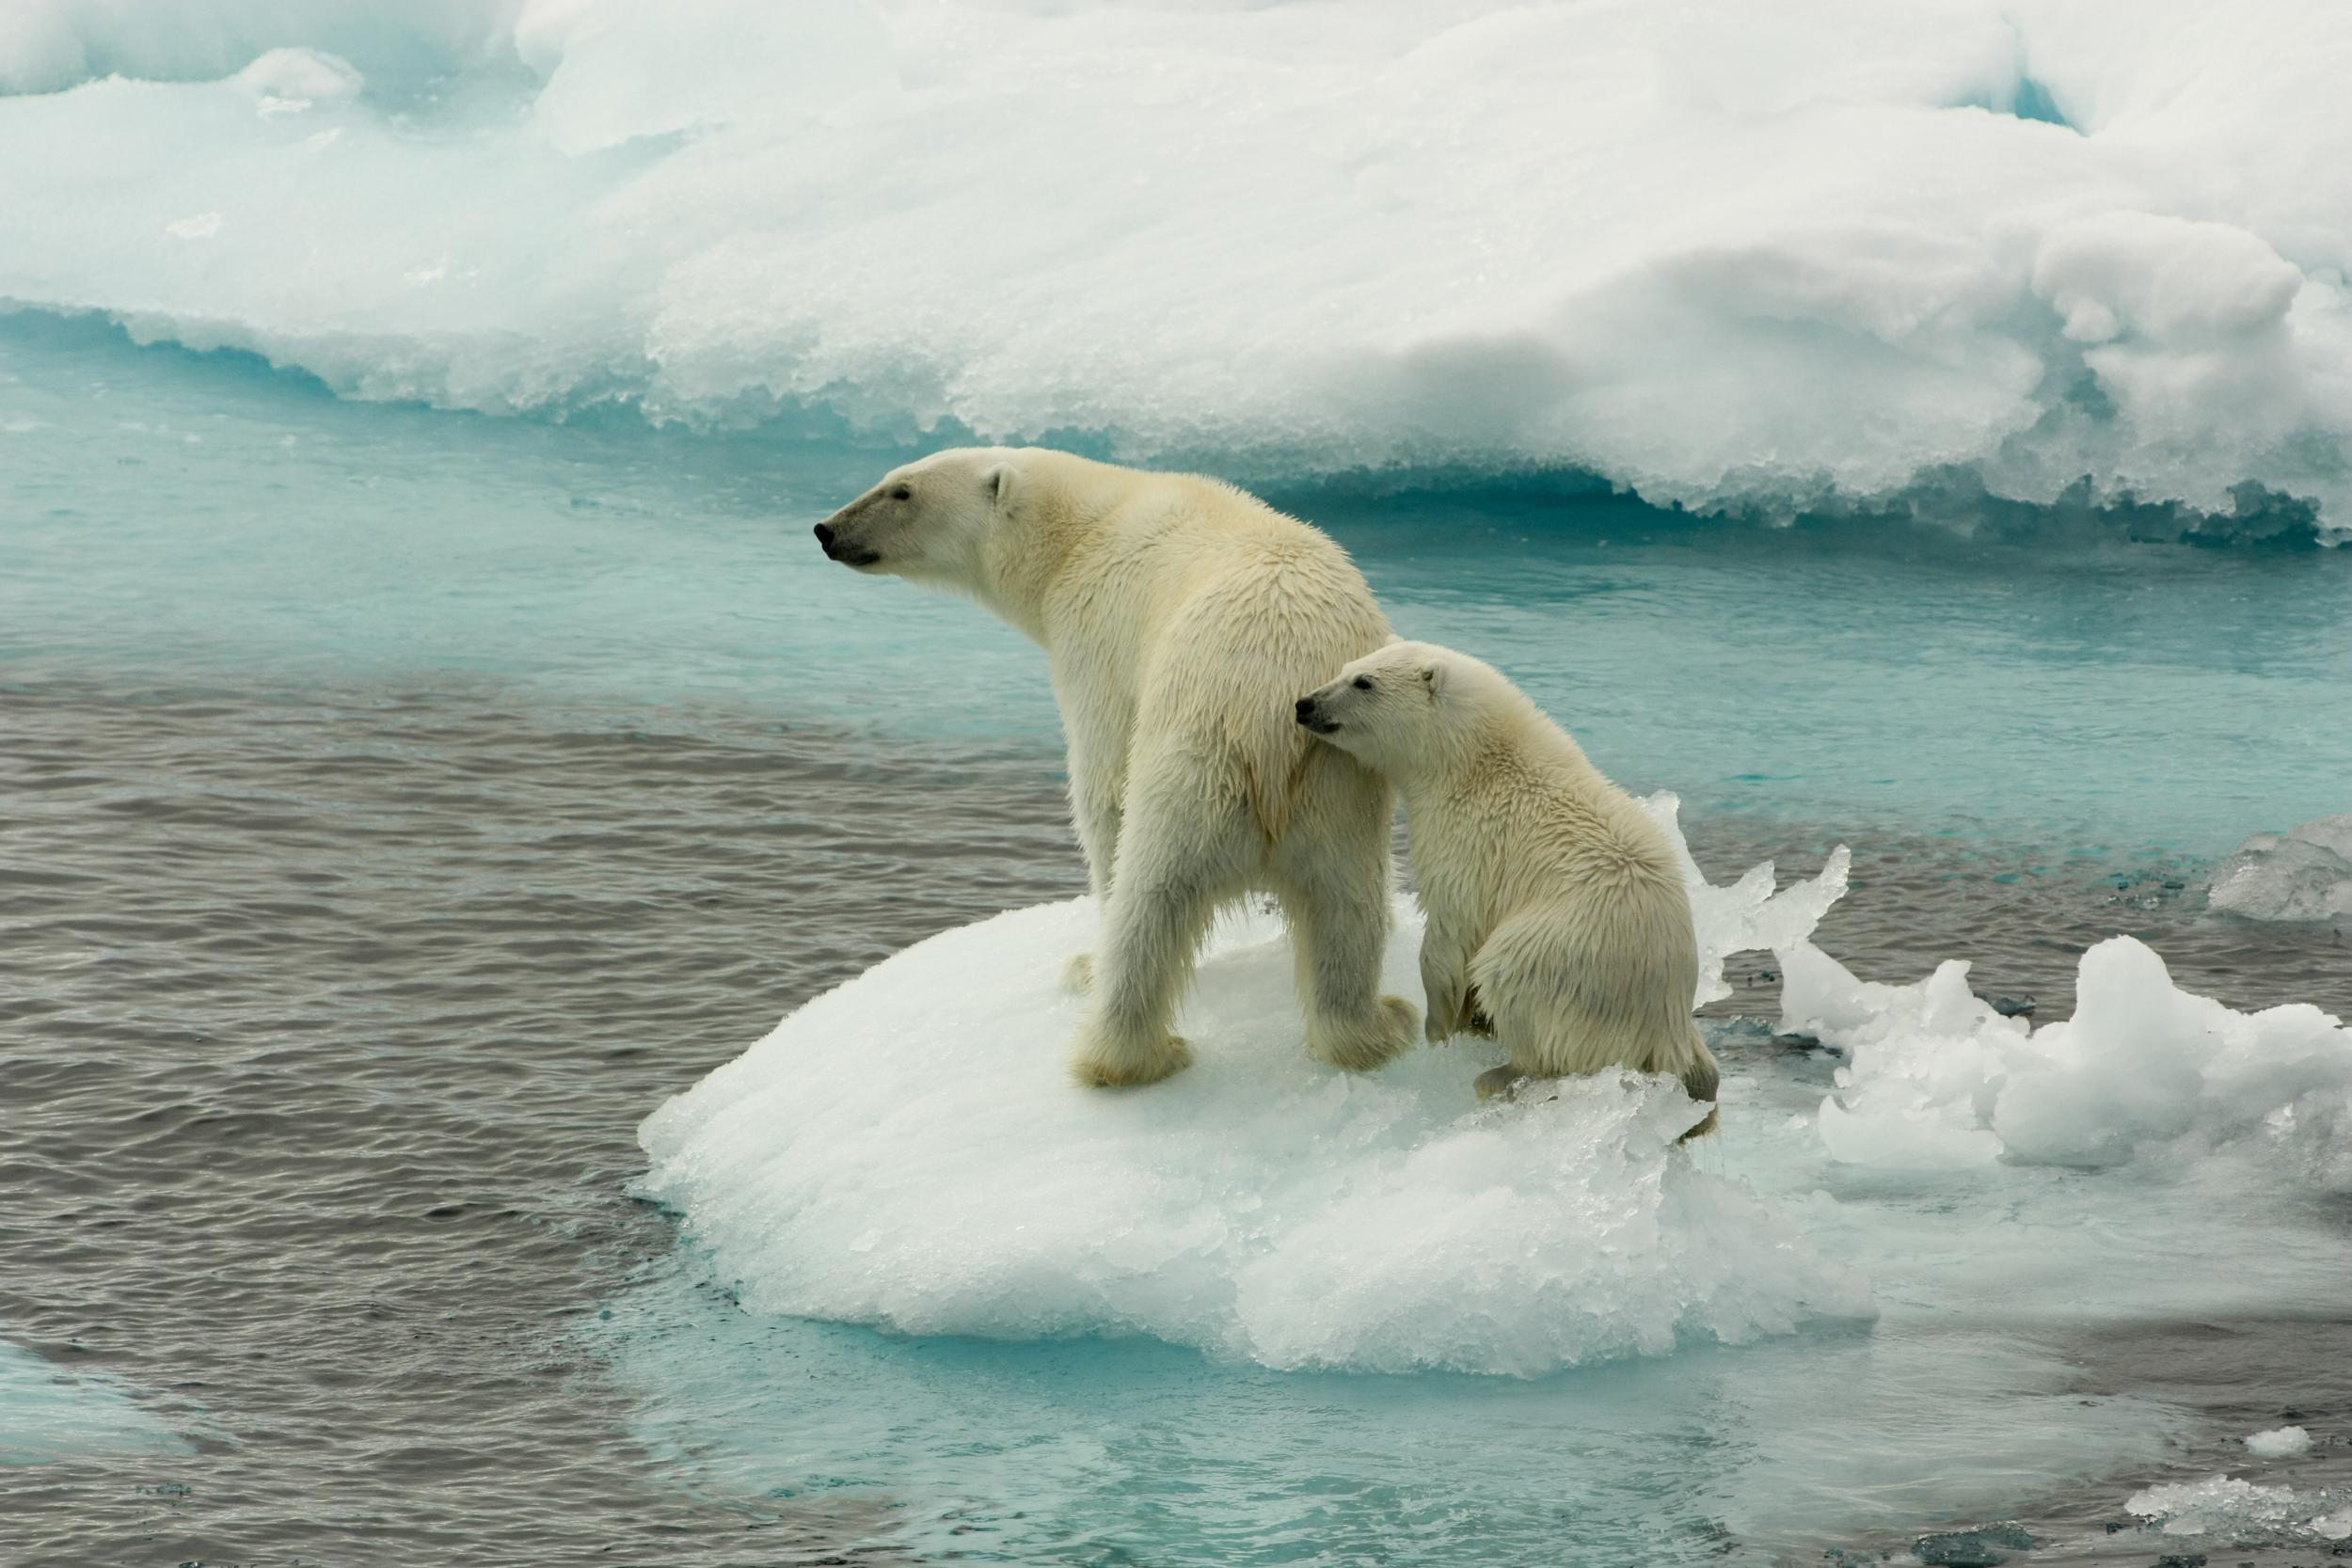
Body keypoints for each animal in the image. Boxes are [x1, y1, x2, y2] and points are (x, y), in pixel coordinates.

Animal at [818, 446, 1421, 1085]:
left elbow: (1102, 780)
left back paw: (1123, 1044)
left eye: (902, 491)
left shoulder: (1096, 634)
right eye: (888, 478)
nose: (827, 530)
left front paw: (1087, 959)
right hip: (1339, 786)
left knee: (1151, 895)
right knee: (1346, 905)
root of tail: (1271, 714)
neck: (1084, 528)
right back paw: (1376, 1027)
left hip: (1198, 761)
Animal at [1298, 643, 1722, 1132]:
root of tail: (1662, 1026)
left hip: (1566, 955)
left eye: (1363, 682)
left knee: (1511, 975)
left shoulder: (1469, 839)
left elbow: (1450, 931)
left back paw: (1500, 1074)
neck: (1475, 760)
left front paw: (1438, 1028)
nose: (1304, 704)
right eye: (1344, 669)